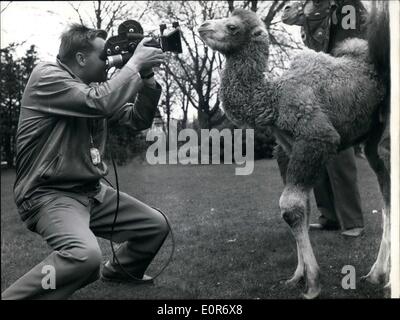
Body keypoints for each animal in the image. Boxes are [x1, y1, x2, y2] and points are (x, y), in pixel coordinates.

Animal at [198, 2, 390, 298]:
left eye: (232, 26)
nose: (203, 26)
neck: (272, 98)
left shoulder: (316, 137)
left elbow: (290, 206)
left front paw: (312, 282)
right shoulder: (288, 148)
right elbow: (304, 207)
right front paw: (298, 275)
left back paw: (381, 274)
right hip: (371, 139)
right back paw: (377, 273)